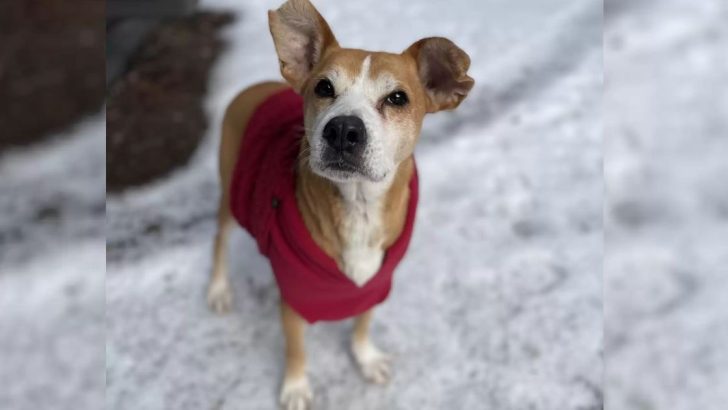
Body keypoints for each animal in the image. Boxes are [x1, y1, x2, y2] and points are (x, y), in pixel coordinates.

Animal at [206, 0, 473, 408]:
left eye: (398, 98)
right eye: (323, 87)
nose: (344, 130)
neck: (358, 206)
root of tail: (252, 88)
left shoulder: (375, 284)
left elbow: (361, 325)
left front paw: (366, 359)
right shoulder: (295, 296)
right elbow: (296, 348)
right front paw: (296, 387)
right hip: (231, 192)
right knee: (220, 238)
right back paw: (219, 289)